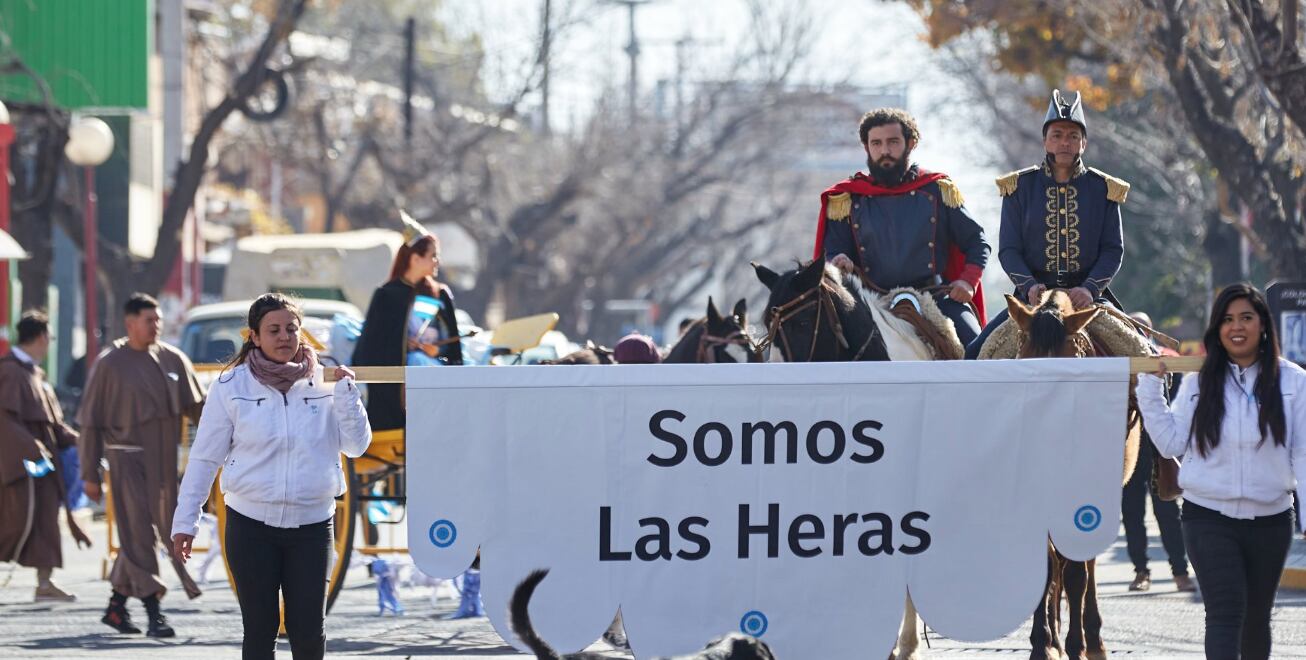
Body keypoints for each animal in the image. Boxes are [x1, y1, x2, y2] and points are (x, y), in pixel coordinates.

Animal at [1003, 291, 1138, 658]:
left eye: (1073, 364)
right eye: (1024, 362)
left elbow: (1078, 572)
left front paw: (1076, 644)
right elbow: (1045, 566)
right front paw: (1042, 643)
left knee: (1085, 565)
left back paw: (1092, 638)